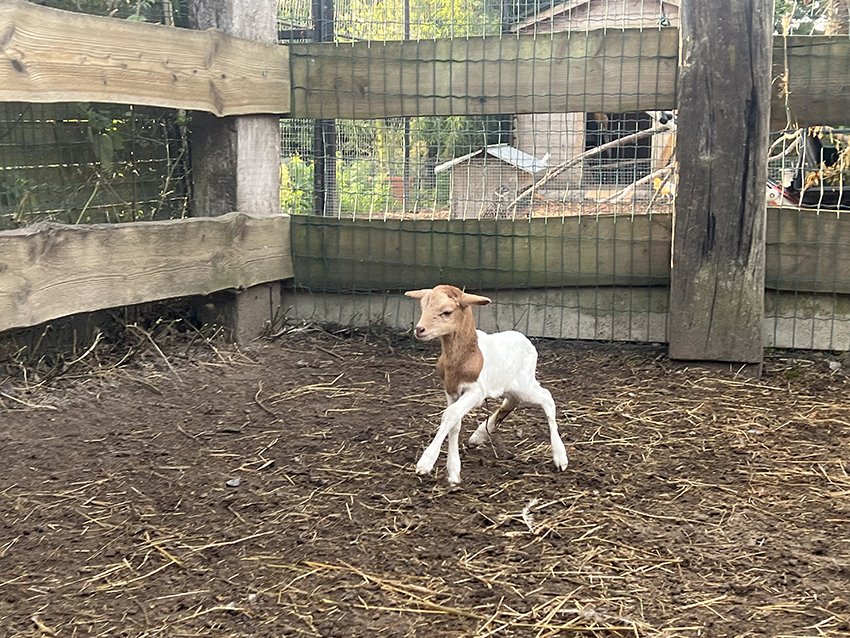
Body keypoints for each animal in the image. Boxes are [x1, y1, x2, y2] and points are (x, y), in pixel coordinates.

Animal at [405, 285, 569, 486]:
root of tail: (525, 339)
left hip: (524, 383)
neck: (466, 356)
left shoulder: (476, 391)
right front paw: (454, 472)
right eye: (423, 307)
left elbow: (450, 415)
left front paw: (425, 463)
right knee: (512, 401)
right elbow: (454, 422)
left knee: (546, 397)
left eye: (447, 312)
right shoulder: (450, 389)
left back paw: (560, 457)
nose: (420, 329)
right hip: (508, 385)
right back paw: (480, 434)